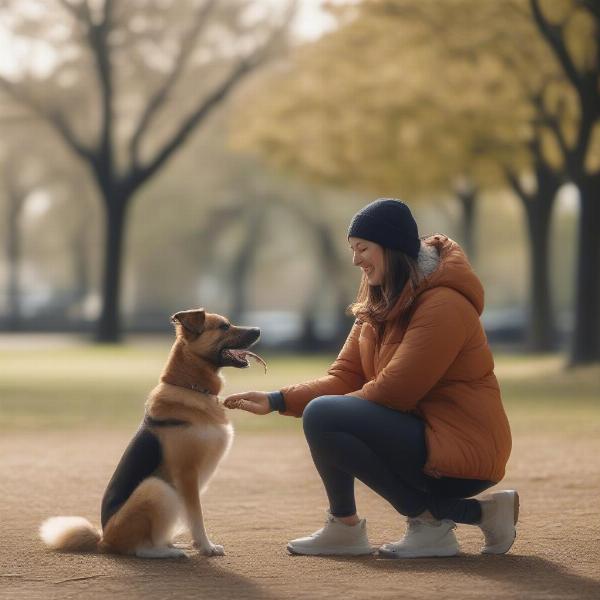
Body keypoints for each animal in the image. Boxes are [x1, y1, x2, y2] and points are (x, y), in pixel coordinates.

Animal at [39, 310, 260, 556]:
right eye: (224, 326)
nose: (258, 330)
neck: (190, 387)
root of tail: (104, 540)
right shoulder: (187, 475)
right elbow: (197, 517)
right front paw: (206, 546)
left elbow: (192, 517)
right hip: (157, 488)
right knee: (141, 548)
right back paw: (168, 552)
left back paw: (172, 544)